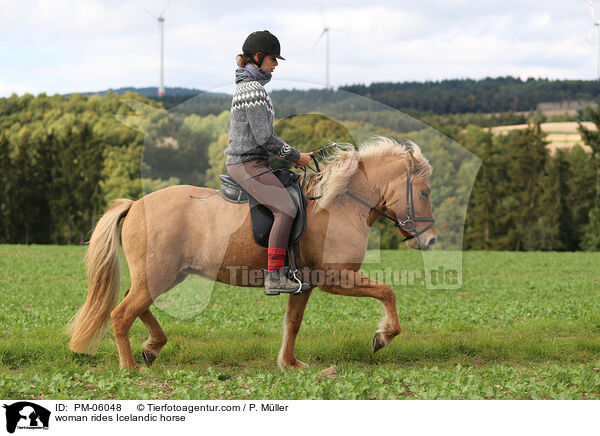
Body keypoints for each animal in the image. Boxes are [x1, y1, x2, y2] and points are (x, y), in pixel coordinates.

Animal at [67, 138, 436, 370]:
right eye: (424, 192)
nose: (430, 240)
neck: (339, 204)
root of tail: (135, 204)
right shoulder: (336, 278)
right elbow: (387, 291)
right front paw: (383, 337)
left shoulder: (306, 284)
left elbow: (293, 323)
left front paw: (289, 364)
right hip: (158, 276)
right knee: (121, 314)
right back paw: (131, 368)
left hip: (162, 276)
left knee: (134, 306)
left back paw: (152, 347)